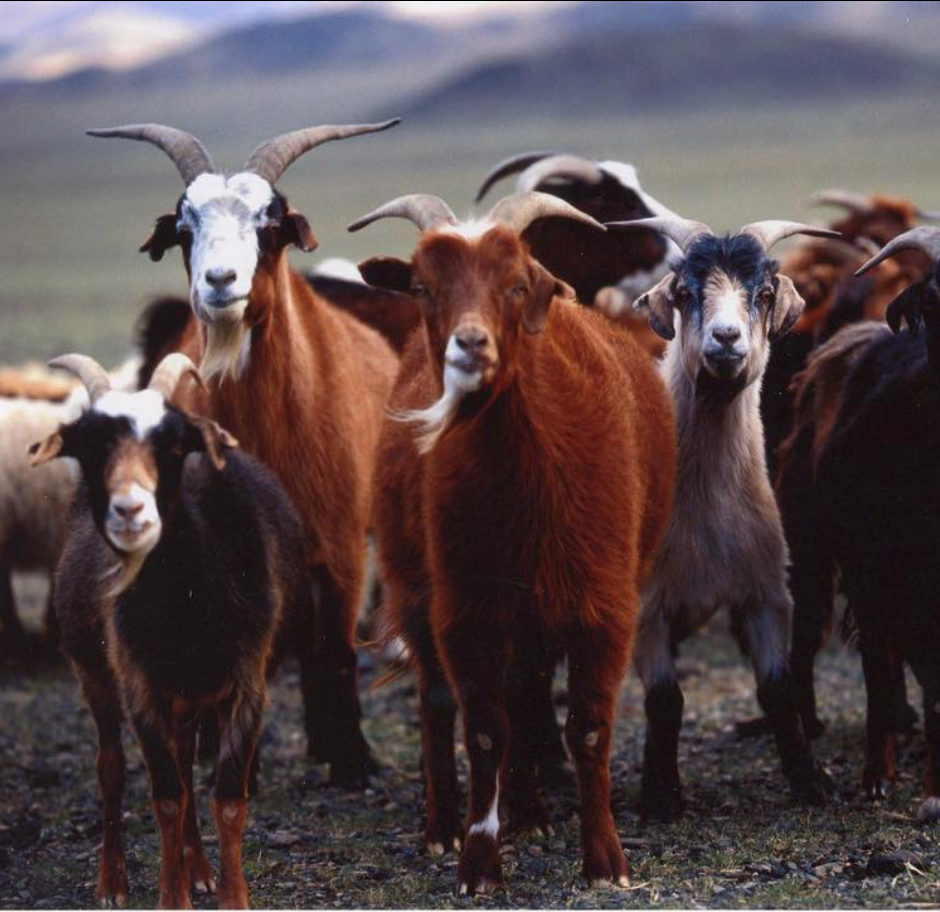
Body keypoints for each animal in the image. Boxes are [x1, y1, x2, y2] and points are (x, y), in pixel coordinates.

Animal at [33, 352, 308, 908]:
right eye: (89, 447)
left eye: (175, 445)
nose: (130, 510)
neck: (188, 606)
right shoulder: (141, 685)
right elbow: (165, 797)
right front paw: (171, 896)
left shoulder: (248, 683)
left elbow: (227, 797)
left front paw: (231, 895)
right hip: (95, 672)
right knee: (112, 765)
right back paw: (113, 881)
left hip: (191, 696)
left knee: (183, 760)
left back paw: (198, 867)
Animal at [93, 123, 402, 792]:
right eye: (184, 227)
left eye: (270, 222)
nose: (220, 281)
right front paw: (231, 762)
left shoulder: (339, 544)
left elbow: (337, 650)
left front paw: (354, 762)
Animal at [352, 189, 676, 896]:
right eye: (421, 287)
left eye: (519, 284)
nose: (469, 346)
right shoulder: (465, 609)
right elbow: (481, 731)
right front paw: (477, 862)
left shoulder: (601, 604)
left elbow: (586, 729)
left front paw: (605, 860)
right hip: (416, 585)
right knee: (438, 702)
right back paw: (443, 825)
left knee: (526, 694)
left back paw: (529, 811)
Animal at [616, 216, 836, 820]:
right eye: (686, 293)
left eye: (762, 294)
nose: (726, 339)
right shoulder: (648, 606)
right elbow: (664, 698)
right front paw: (660, 797)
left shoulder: (766, 594)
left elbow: (778, 687)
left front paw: (810, 782)